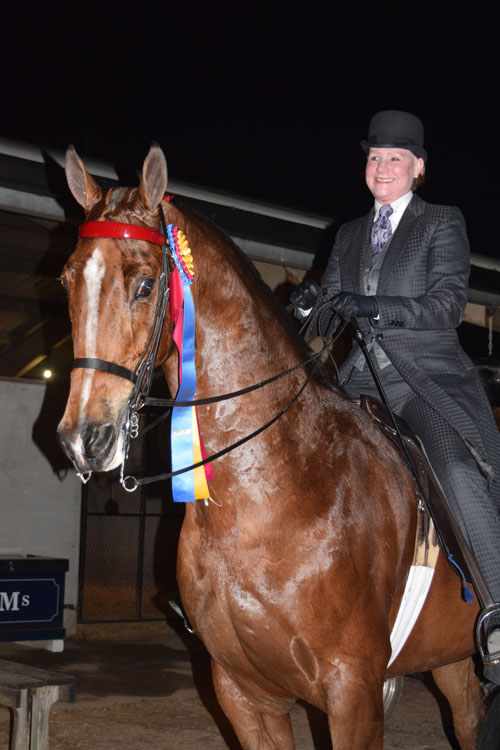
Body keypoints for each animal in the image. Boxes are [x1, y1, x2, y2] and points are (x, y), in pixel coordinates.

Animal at [56, 144, 494, 748]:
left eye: (144, 285)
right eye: (66, 281)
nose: (84, 439)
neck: (270, 492)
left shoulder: (354, 693)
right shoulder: (244, 694)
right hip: (449, 657)